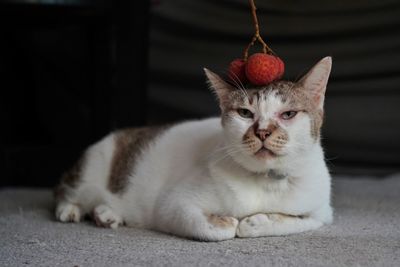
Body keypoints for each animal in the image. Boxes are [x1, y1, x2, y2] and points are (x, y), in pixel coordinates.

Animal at [54, 57, 332, 243]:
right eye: (245, 113)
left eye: (288, 114)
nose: (262, 132)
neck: (266, 180)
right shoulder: (173, 204)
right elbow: (215, 228)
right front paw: (229, 221)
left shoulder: (322, 212)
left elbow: (298, 221)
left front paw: (256, 221)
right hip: (92, 170)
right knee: (66, 191)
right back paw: (70, 210)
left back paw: (106, 214)